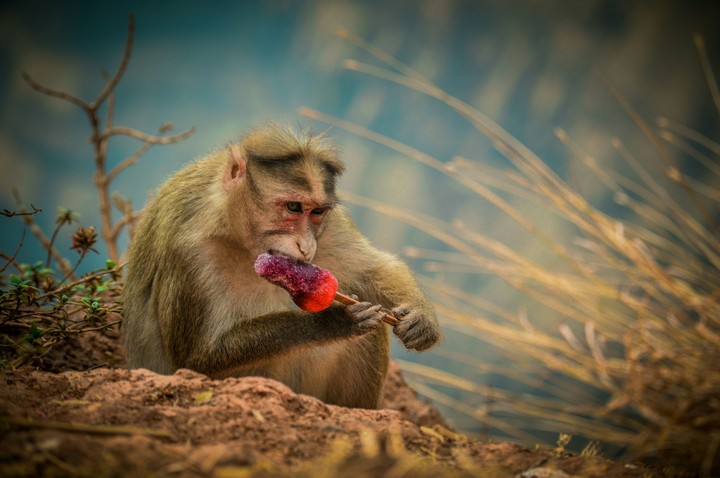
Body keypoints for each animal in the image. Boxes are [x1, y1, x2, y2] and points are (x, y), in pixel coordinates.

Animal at [122, 123, 441, 409]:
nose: (306, 246)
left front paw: (421, 317)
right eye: (293, 207)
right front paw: (332, 322)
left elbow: (374, 268)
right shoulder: (188, 251)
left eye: (317, 212)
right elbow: (196, 358)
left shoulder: (331, 226)